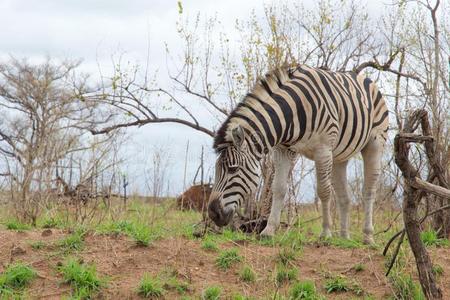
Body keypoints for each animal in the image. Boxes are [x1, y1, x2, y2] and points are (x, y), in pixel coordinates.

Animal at [209, 63, 388, 244]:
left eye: (233, 169)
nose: (213, 214)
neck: (292, 112)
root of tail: (363, 78)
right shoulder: (283, 150)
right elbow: (278, 188)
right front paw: (268, 231)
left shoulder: (323, 150)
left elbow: (323, 191)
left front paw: (325, 233)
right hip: (340, 155)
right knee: (344, 195)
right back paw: (344, 238)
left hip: (375, 143)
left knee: (369, 190)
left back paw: (368, 237)